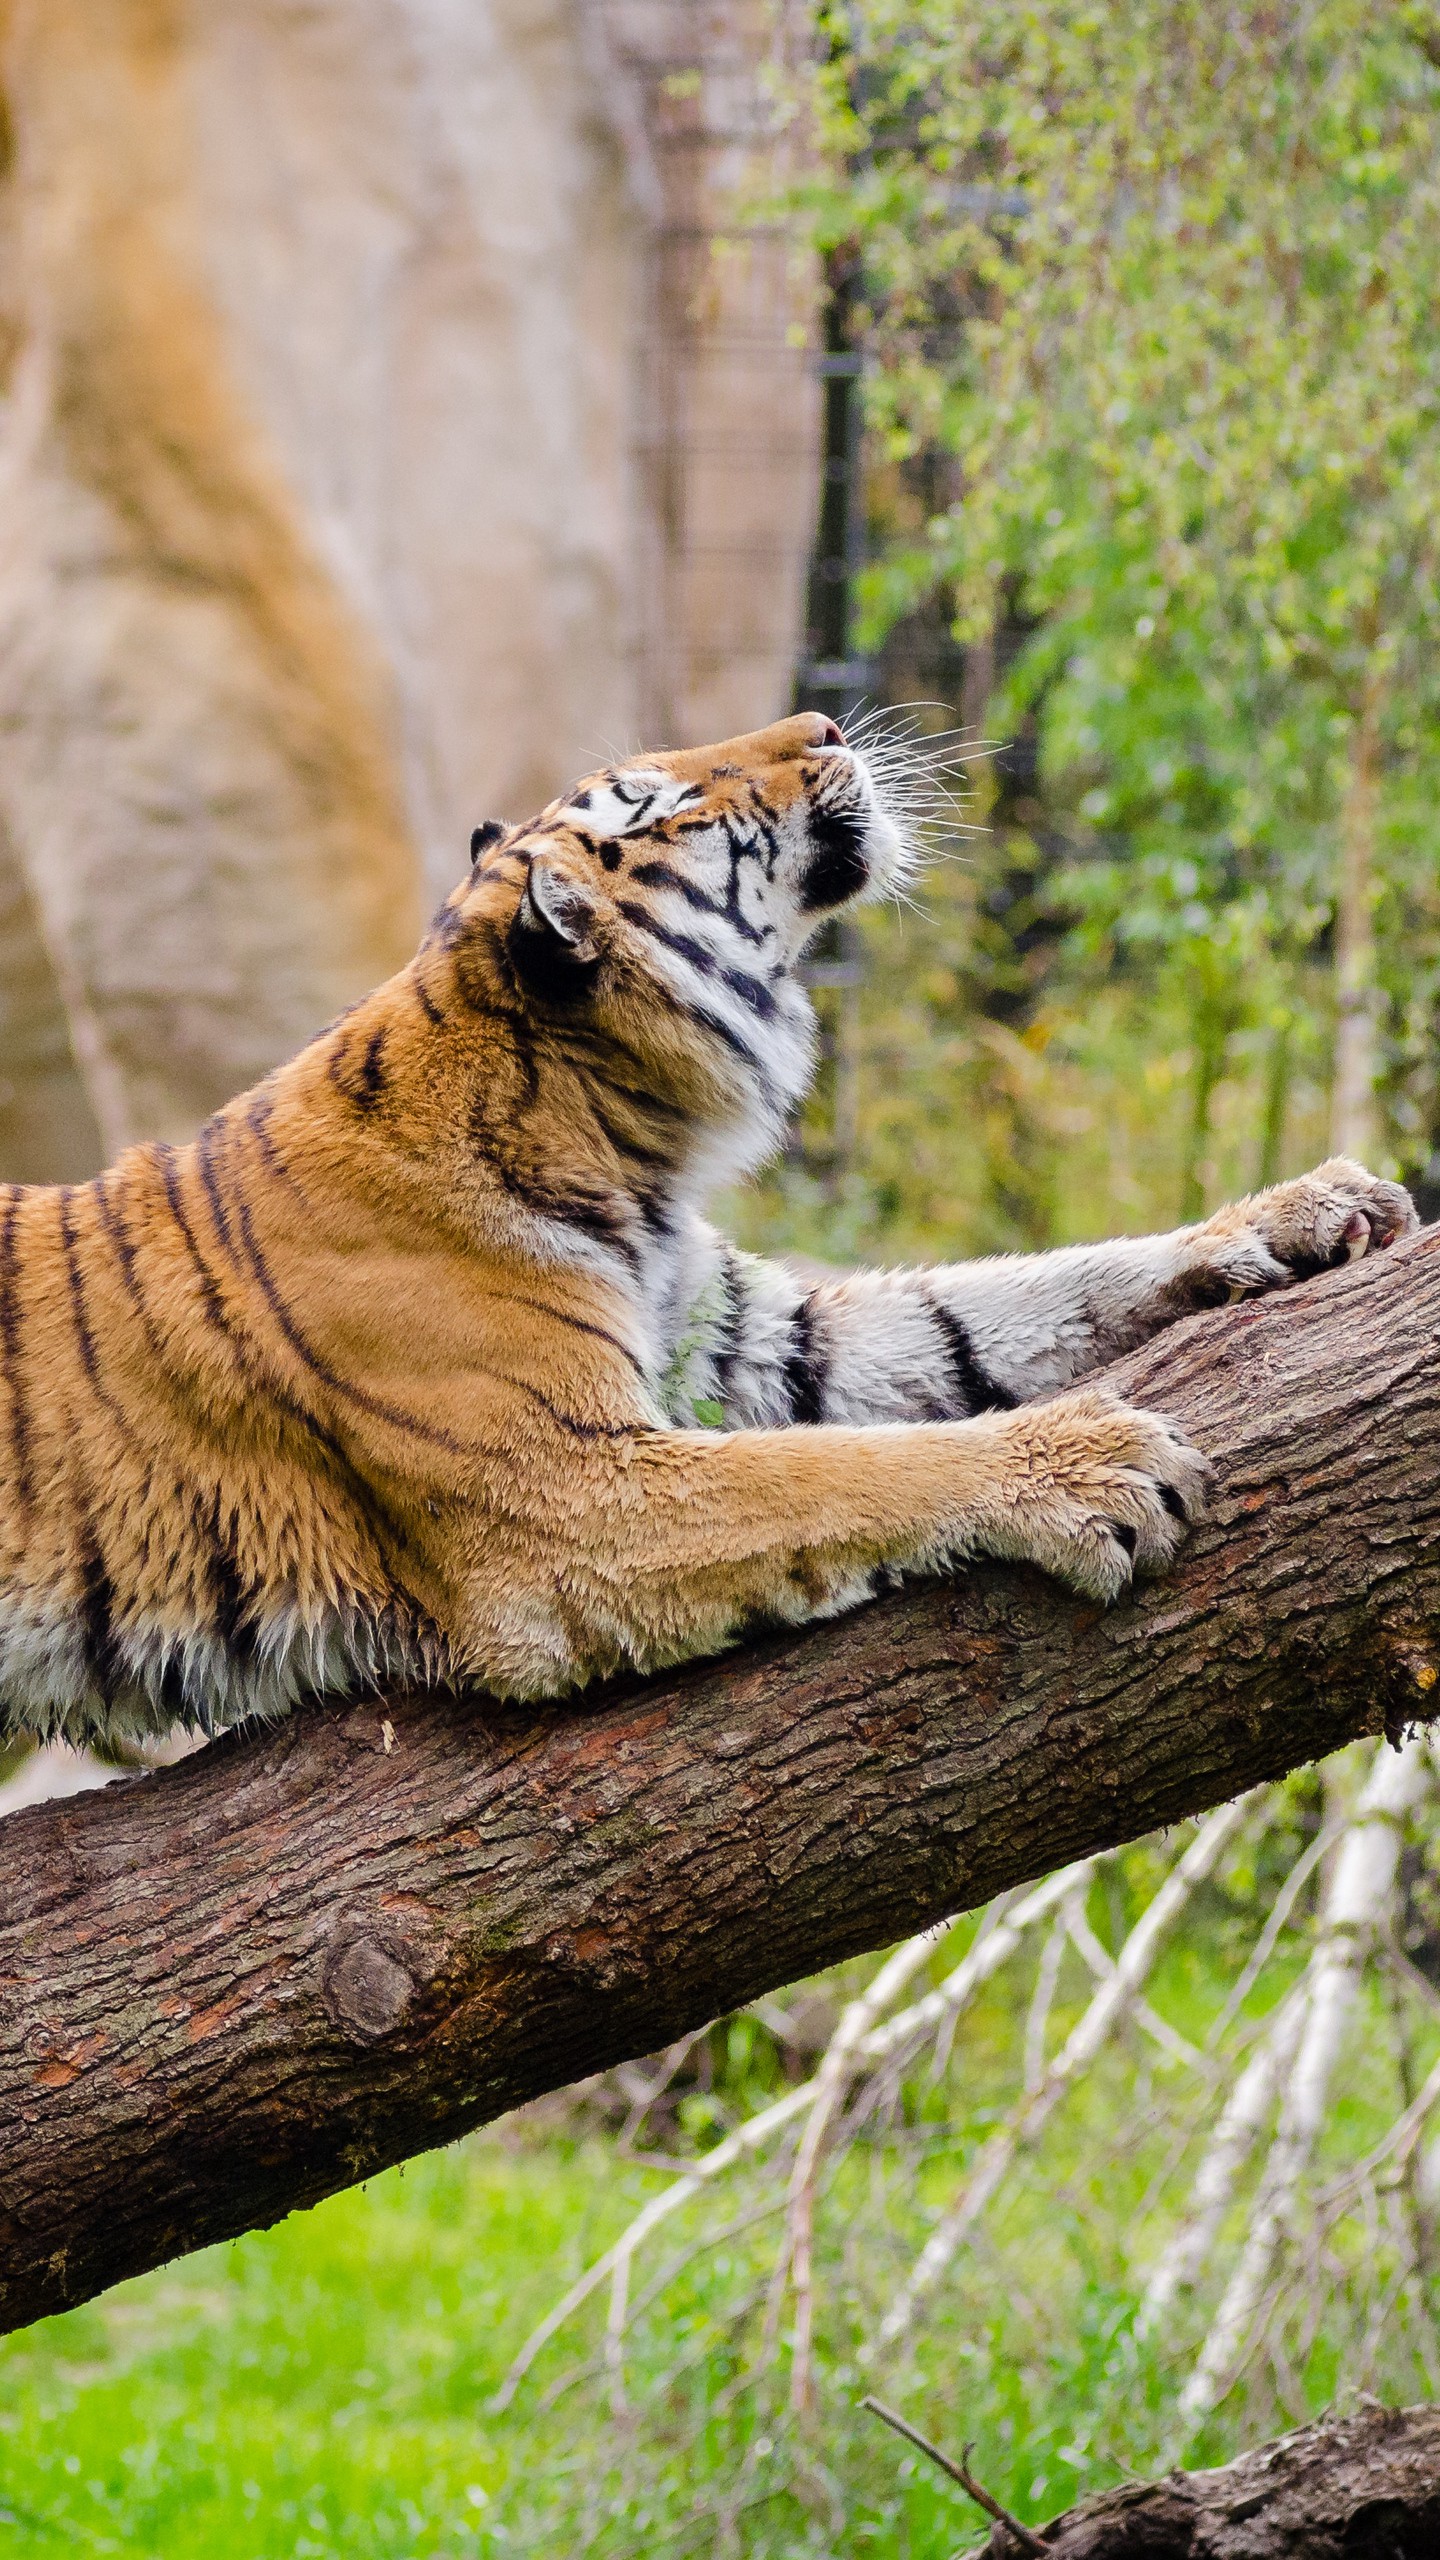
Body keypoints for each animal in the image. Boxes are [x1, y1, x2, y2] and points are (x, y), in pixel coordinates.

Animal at [0, 701, 1414, 1751]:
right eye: (658, 806)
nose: (828, 720)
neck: (628, 1138)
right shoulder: (571, 1498)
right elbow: (850, 1472)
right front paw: (1090, 1469)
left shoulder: (752, 1337)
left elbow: (1010, 1301)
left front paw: (1305, 1211)